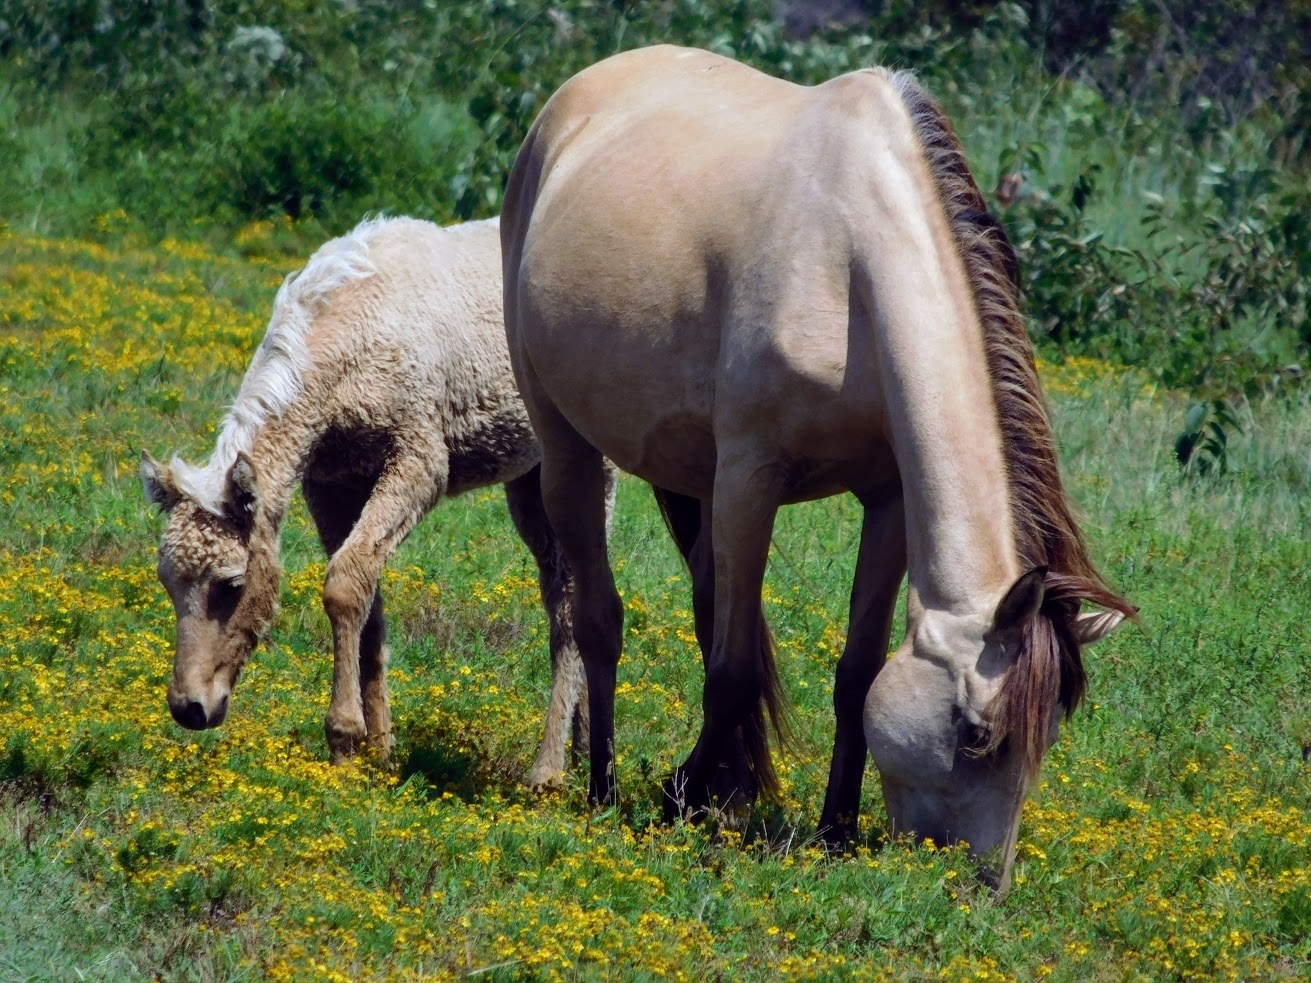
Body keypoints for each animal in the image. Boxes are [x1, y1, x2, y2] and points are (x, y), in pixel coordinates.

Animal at [142, 215, 611, 788]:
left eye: (230, 585)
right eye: (167, 581)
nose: (188, 708)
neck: (349, 340)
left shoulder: (420, 462)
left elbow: (344, 586)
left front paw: (344, 740)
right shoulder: (331, 485)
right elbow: (369, 599)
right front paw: (382, 749)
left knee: (569, 601)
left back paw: (549, 769)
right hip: (528, 480)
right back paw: (585, 747)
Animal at [501, 45, 1134, 889]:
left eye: (1049, 736)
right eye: (973, 733)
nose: (984, 888)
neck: (850, 269)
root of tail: (567, 104)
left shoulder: (887, 500)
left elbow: (852, 673)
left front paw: (832, 828)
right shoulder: (750, 480)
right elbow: (733, 668)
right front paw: (676, 797)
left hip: (687, 477)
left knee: (704, 609)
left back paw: (727, 792)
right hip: (568, 443)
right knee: (598, 617)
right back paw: (603, 786)